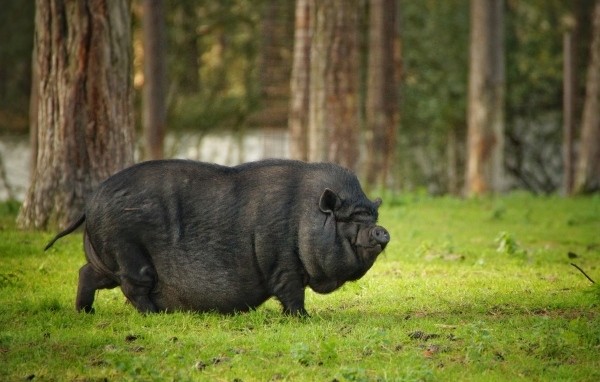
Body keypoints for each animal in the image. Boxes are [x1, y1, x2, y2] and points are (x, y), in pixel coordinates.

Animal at [48, 160, 394, 314]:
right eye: (349, 218)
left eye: (372, 216)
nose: (382, 231)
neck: (305, 218)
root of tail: (90, 202)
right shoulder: (282, 262)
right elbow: (293, 293)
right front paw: (304, 319)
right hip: (127, 250)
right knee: (134, 288)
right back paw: (155, 314)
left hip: (106, 256)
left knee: (86, 273)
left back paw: (85, 311)